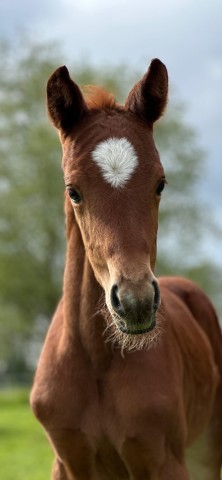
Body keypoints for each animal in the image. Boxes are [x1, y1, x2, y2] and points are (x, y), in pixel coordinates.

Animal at [30, 58, 222, 478]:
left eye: (160, 183)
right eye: (73, 190)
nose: (135, 302)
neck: (97, 362)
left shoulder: (165, 461)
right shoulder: (68, 463)